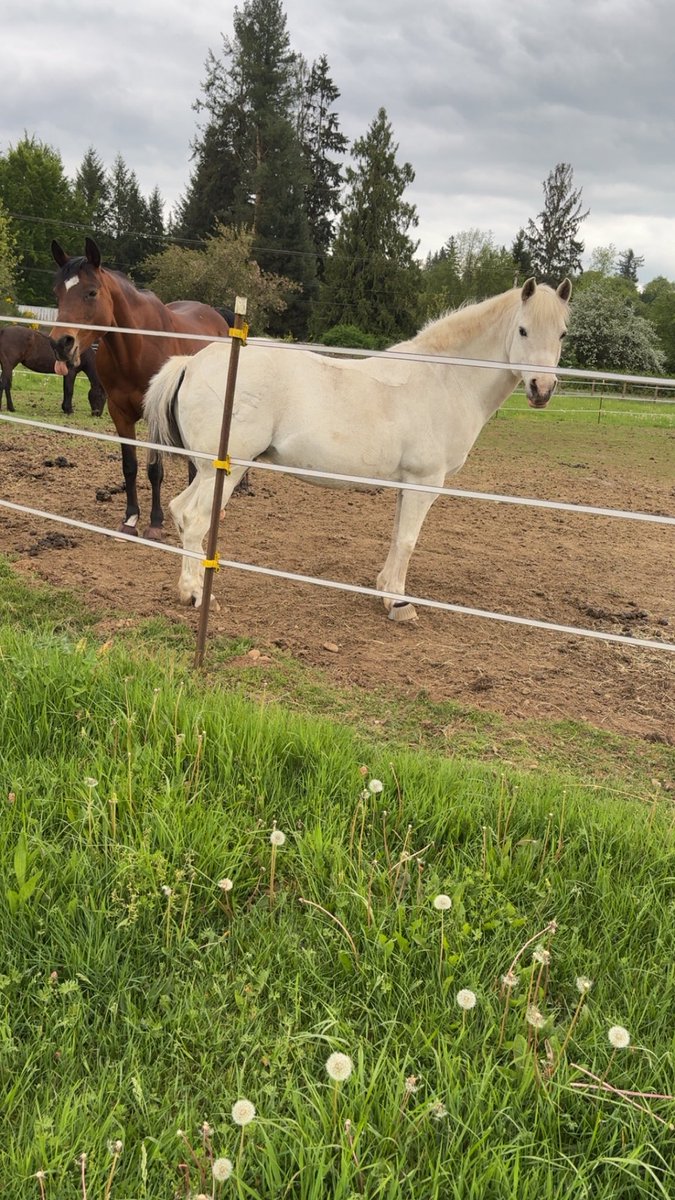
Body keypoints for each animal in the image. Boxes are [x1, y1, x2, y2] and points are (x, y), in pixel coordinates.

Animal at [50, 238, 233, 539]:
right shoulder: (119, 413)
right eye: (58, 293)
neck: (135, 347)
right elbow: (130, 466)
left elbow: (154, 469)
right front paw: (130, 519)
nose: (60, 343)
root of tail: (217, 316)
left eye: (91, 292)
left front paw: (156, 523)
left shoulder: (154, 416)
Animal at [143, 277, 572, 620]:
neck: (444, 379)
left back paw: (188, 589)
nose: (542, 390)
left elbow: (398, 536)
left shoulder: (408, 484)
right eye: (523, 330)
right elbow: (408, 540)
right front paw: (399, 604)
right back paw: (198, 596)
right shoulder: (425, 482)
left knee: (181, 511)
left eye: (563, 334)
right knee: (196, 518)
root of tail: (191, 363)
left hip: (207, 471)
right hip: (226, 470)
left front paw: (385, 590)